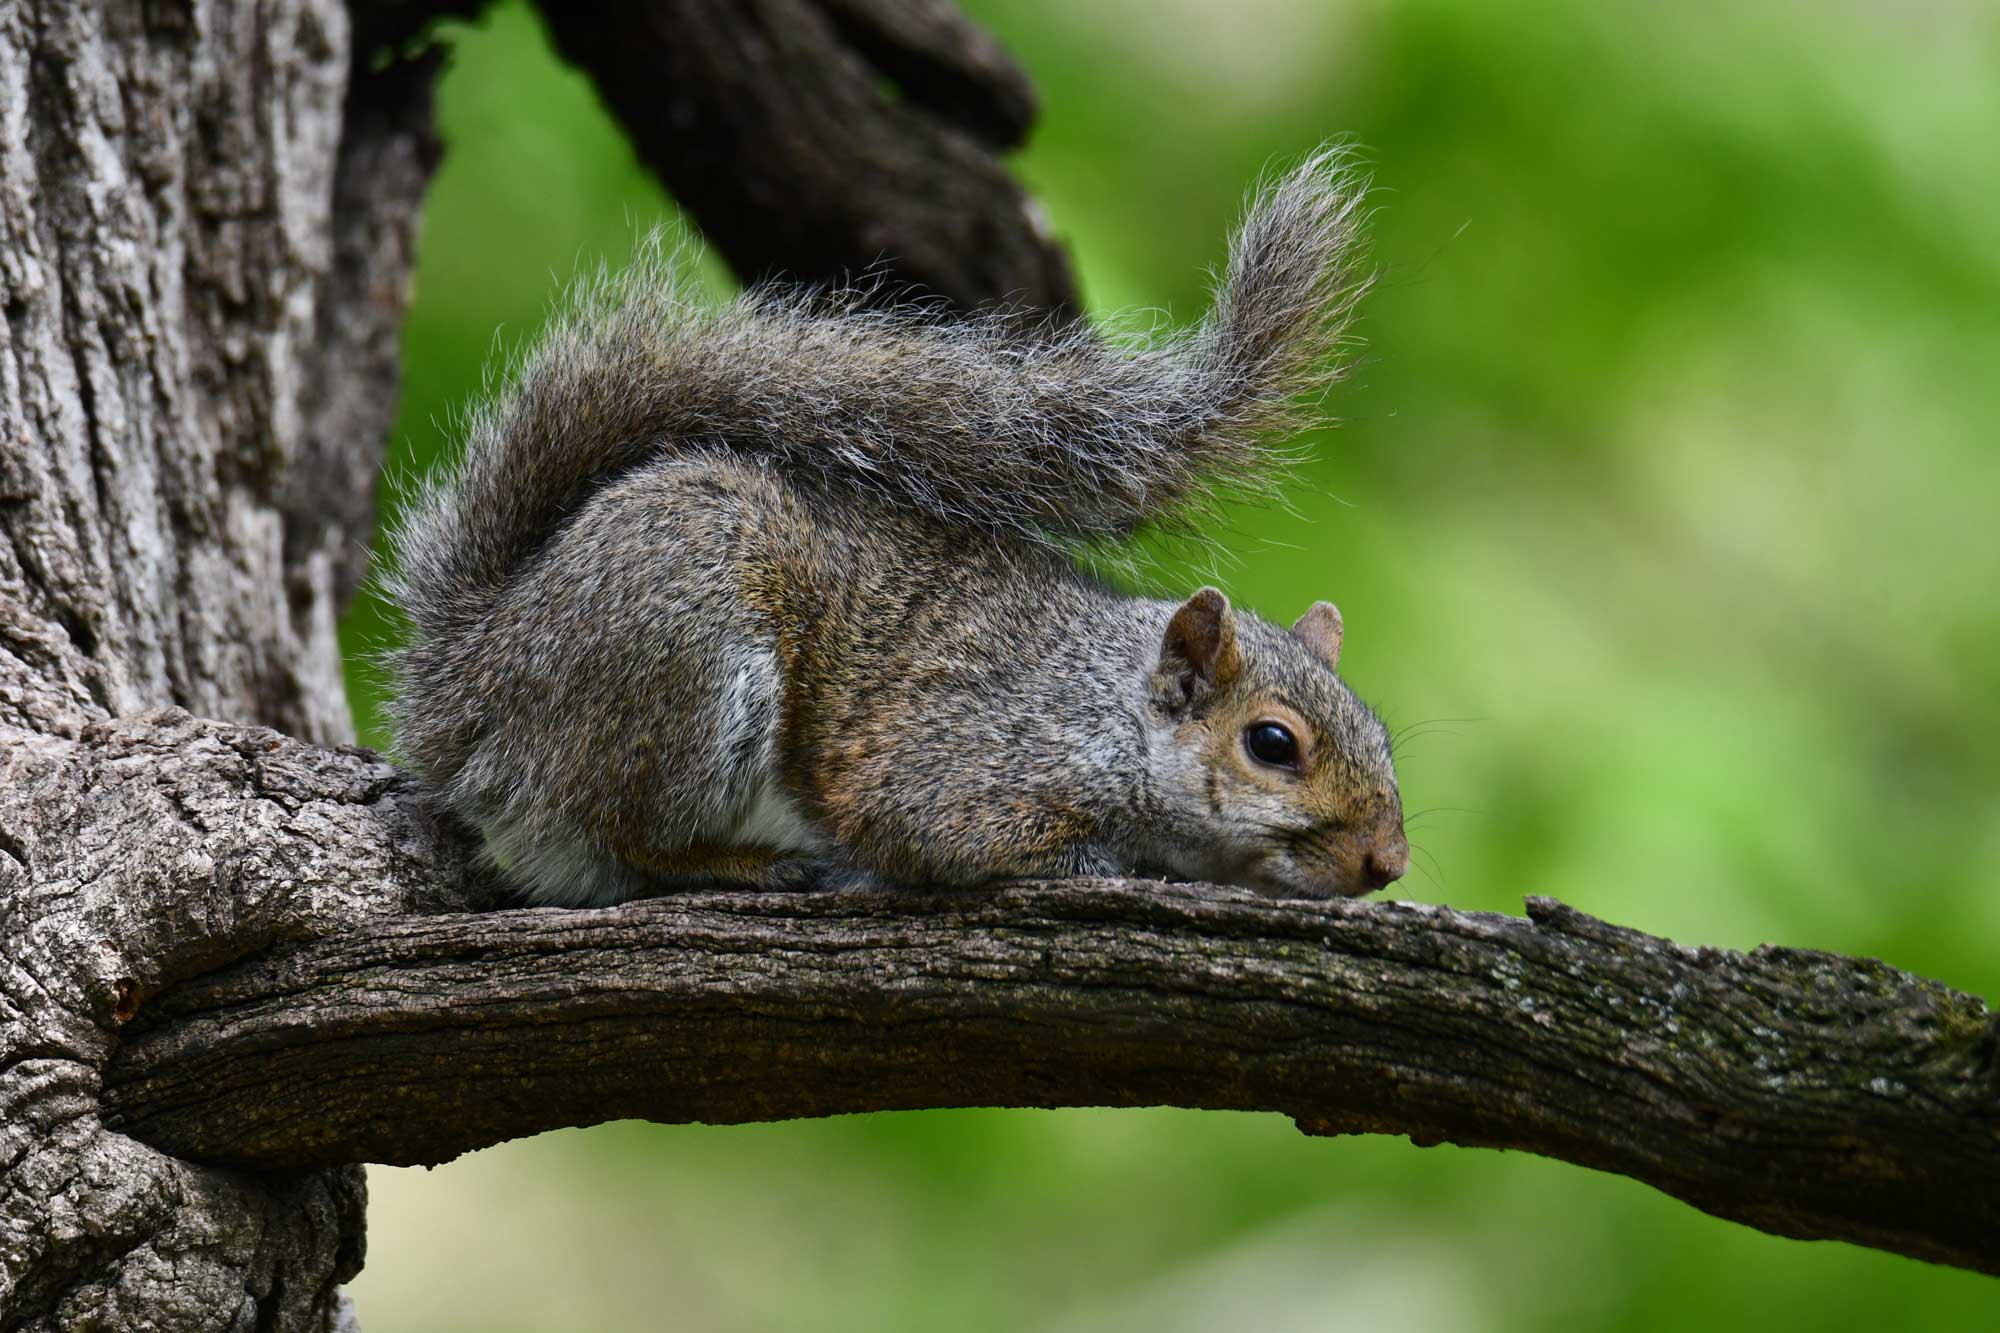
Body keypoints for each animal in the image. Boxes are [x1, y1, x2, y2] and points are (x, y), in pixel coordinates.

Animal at [384, 150, 1408, 907]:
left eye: (1384, 738)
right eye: (1272, 744)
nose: (1387, 863)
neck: (1109, 707)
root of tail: (474, 690)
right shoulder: (971, 766)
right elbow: (943, 835)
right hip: (687, 662)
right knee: (628, 839)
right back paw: (755, 865)